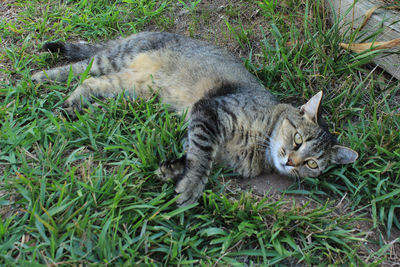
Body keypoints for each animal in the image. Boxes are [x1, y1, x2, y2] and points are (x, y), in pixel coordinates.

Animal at [32, 31, 358, 207]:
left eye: (312, 164)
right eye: (298, 138)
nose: (291, 161)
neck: (259, 146)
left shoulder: (202, 127)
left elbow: (193, 153)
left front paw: (172, 170)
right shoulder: (210, 111)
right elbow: (201, 157)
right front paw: (190, 187)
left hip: (127, 86)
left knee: (89, 83)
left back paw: (71, 104)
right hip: (113, 59)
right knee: (77, 69)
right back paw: (38, 78)